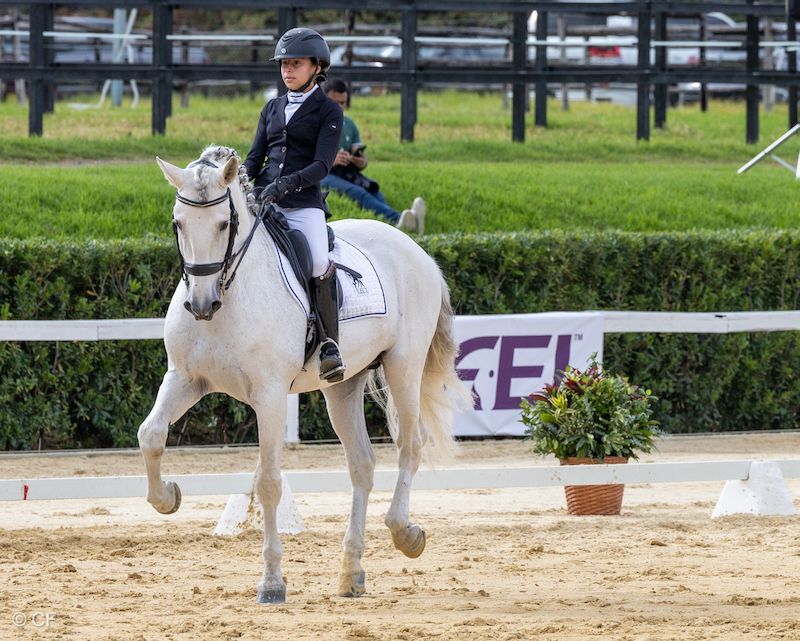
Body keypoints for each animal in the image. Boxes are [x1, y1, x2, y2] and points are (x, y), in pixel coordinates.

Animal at [137, 145, 469, 603]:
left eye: (223, 224)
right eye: (178, 223)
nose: (202, 305)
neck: (231, 292)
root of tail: (414, 248)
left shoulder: (270, 396)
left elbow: (268, 483)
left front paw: (272, 582)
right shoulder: (186, 378)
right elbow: (150, 435)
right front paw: (168, 497)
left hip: (404, 365)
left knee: (410, 445)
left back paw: (405, 533)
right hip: (343, 386)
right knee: (362, 465)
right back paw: (351, 573)